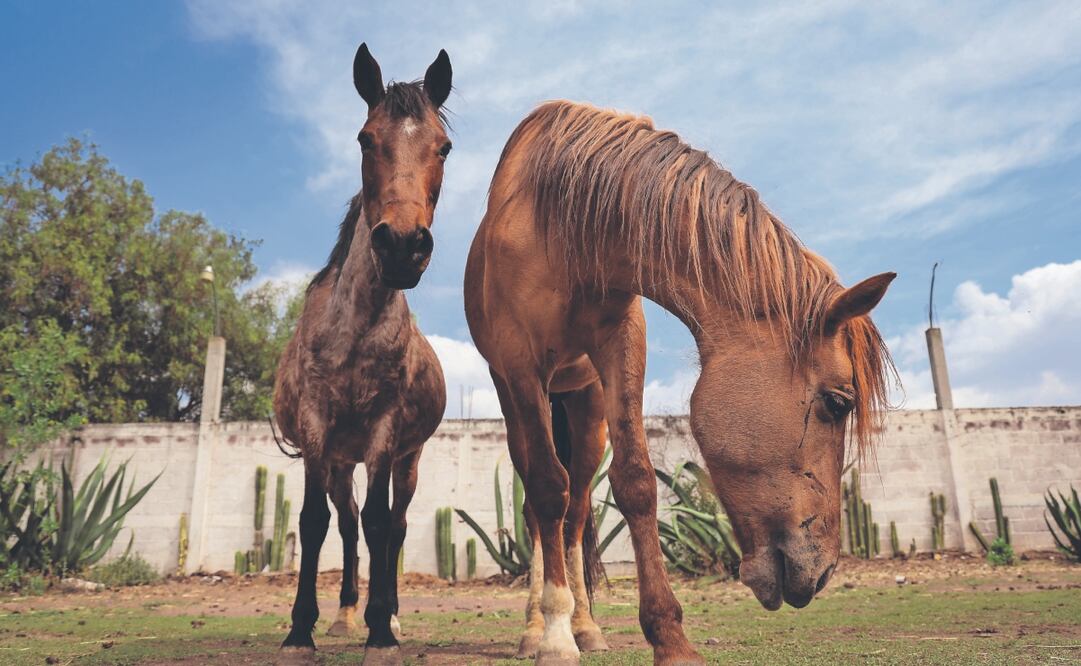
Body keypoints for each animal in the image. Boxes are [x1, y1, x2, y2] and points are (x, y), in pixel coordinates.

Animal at [273, 43, 452, 664]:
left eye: (443, 147)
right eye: (364, 139)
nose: (402, 245)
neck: (353, 329)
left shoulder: (384, 429)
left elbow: (379, 523)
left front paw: (381, 629)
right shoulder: (317, 426)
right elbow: (313, 522)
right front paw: (300, 629)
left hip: (407, 460)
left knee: (391, 526)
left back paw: (387, 614)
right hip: (336, 460)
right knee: (346, 524)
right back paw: (344, 614)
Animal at [464, 101, 896, 665]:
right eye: (838, 402)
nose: (821, 572)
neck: (559, 223)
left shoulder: (621, 346)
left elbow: (636, 482)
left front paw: (669, 640)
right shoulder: (520, 363)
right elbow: (545, 489)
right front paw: (554, 637)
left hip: (586, 404)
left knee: (577, 511)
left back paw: (586, 625)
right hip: (517, 400)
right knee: (543, 507)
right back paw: (540, 627)